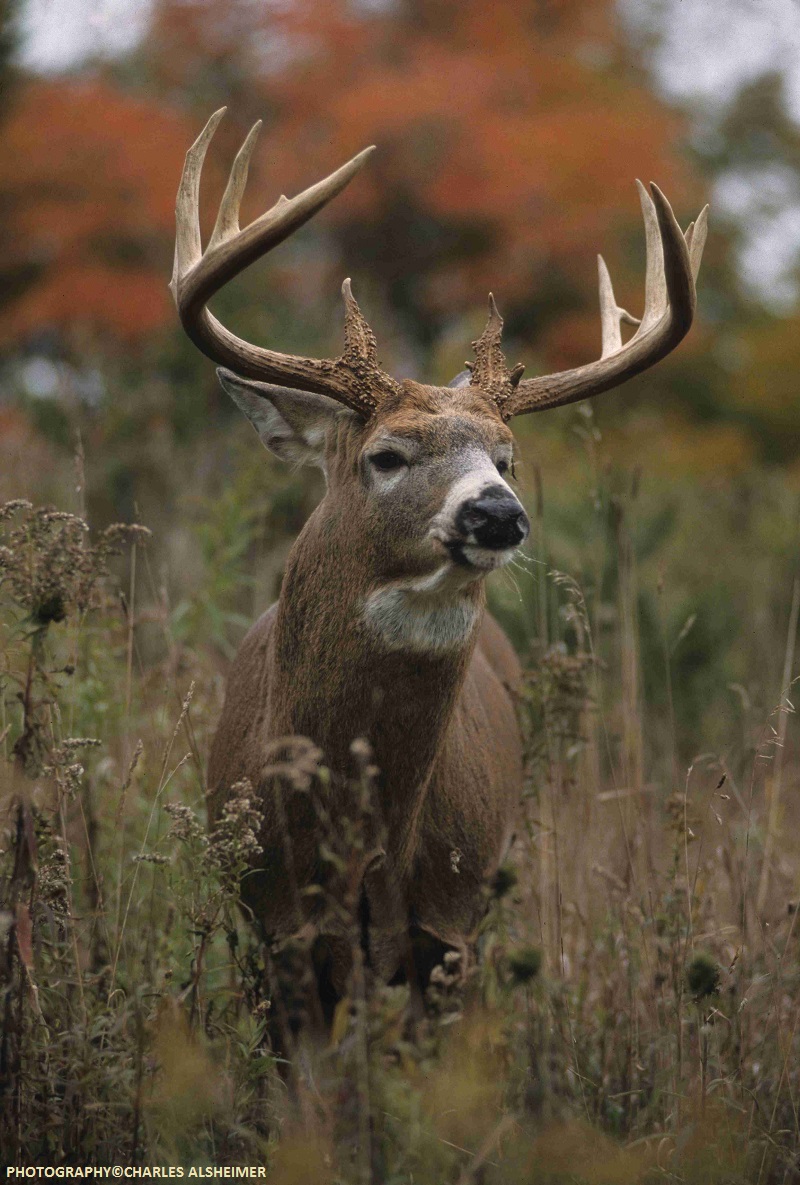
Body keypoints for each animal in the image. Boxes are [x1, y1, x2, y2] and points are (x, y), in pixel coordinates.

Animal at [170, 109, 706, 1000]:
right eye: (386, 455)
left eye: (506, 457)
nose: (497, 514)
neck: (360, 848)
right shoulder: (272, 930)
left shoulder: (448, 923)